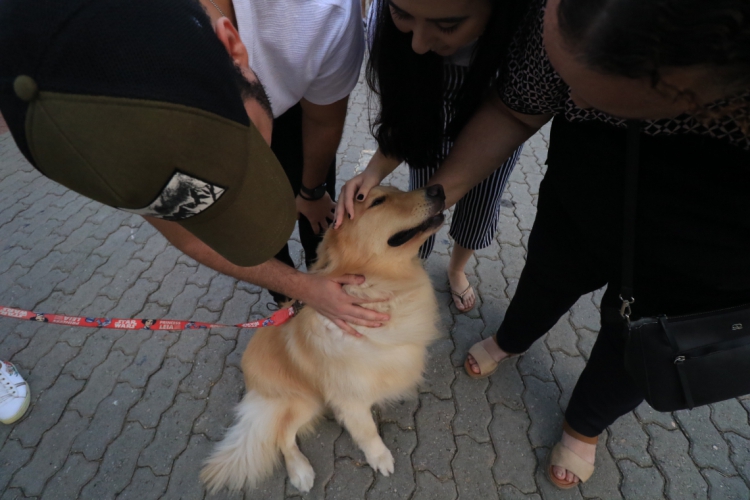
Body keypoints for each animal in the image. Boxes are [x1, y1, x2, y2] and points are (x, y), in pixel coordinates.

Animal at [200, 184, 446, 492]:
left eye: (398, 189)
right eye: (378, 201)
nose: (438, 188)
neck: (375, 289)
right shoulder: (350, 398)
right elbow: (367, 431)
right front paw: (380, 457)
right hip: (304, 400)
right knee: (282, 435)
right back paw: (300, 471)